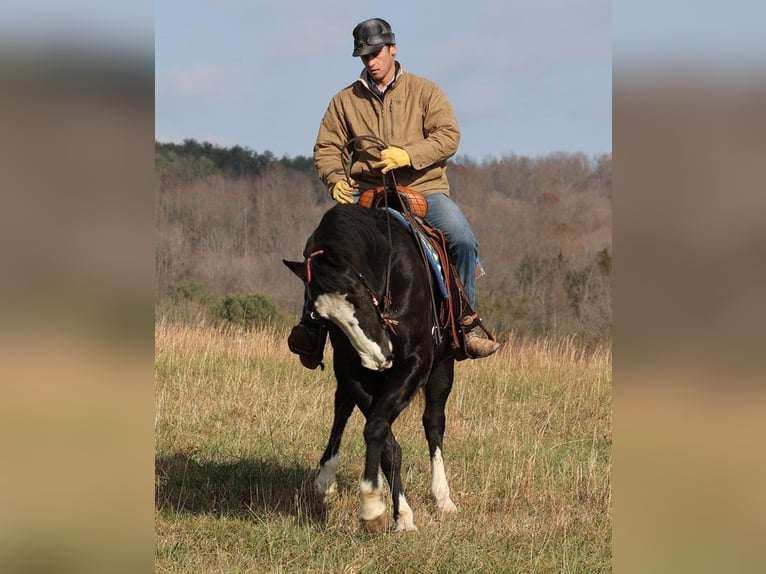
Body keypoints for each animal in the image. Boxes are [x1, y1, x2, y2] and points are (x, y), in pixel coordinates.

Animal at [284, 204, 460, 536]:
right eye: (319, 313)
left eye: (355, 291)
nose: (379, 358)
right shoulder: (354, 373)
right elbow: (385, 441)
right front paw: (391, 512)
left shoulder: (415, 363)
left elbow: (378, 428)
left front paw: (373, 507)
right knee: (342, 408)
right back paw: (326, 480)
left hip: (443, 369)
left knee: (434, 423)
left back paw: (443, 498)